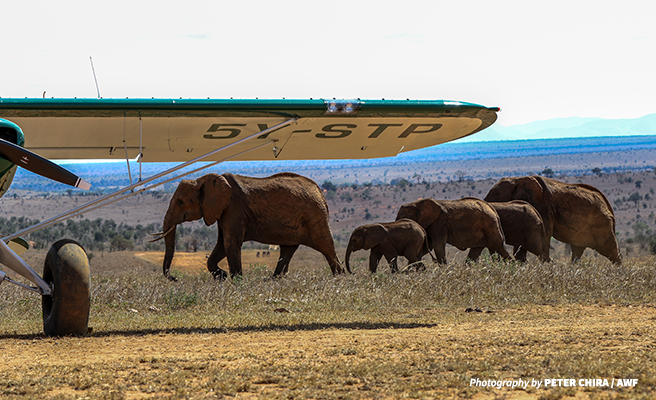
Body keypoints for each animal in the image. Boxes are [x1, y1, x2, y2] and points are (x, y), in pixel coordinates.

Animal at [152, 172, 346, 282]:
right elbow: (222, 244)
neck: (202, 180)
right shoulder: (223, 211)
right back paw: (274, 280)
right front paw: (222, 277)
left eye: (180, 201)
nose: (175, 279)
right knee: (287, 250)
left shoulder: (233, 208)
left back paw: (340, 278)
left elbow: (230, 243)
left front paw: (236, 282)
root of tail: (320, 191)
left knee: (326, 246)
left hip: (315, 215)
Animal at [486, 176, 620, 264]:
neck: (518, 179)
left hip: (601, 222)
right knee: (577, 249)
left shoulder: (544, 208)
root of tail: (607, 203)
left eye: (497, 194)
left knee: (611, 249)